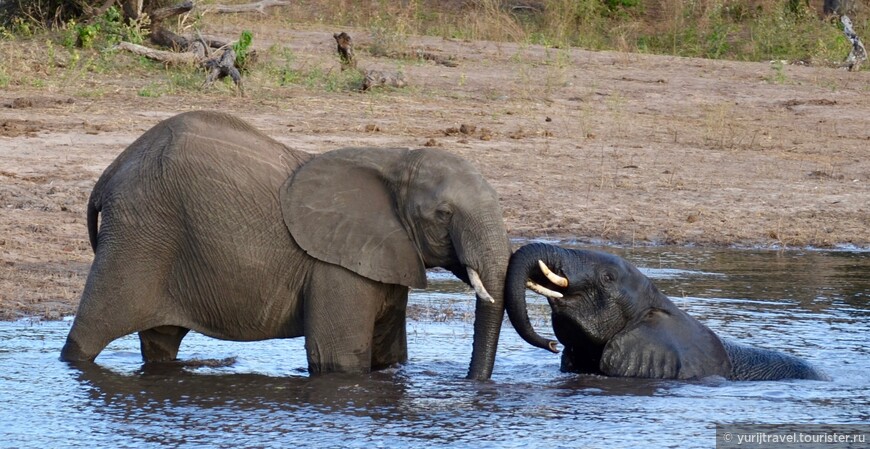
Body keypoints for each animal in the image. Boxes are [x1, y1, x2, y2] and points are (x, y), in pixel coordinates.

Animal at [61, 109, 516, 378]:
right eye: (443, 216)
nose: (471, 383)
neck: (394, 159)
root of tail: (111, 170)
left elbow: (390, 357)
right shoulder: (337, 270)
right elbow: (340, 361)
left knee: (161, 339)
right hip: (136, 235)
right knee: (90, 332)